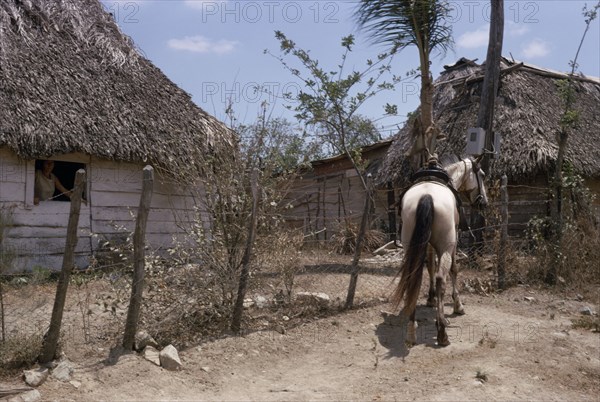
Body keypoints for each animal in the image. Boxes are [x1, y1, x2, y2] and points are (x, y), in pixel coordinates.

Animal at [394, 157, 488, 346]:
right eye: (481, 174)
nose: (484, 203)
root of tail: (427, 196)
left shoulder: (428, 245)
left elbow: (430, 266)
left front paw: (431, 299)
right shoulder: (453, 243)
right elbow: (453, 270)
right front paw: (457, 305)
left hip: (410, 247)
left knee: (412, 278)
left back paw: (411, 330)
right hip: (445, 246)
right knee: (440, 279)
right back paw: (442, 333)